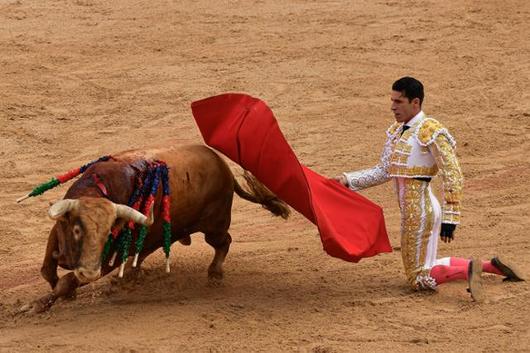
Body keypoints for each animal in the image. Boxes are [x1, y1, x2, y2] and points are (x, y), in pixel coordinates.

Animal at [22, 144, 288, 312]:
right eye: (77, 230)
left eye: (108, 233)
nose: (89, 273)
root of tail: (225, 170)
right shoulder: (58, 231)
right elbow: (47, 269)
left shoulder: (111, 254)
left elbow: (66, 280)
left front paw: (36, 305)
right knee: (145, 252)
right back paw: (128, 277)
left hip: (215, 225)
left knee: (224, 242)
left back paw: (214, 274)